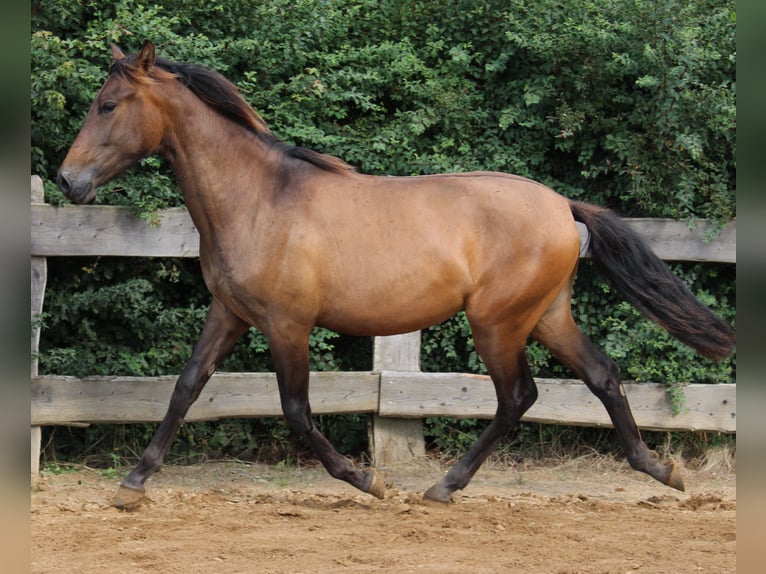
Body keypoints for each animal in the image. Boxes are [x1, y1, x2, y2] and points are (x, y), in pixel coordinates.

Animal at [57, 44, 736, 512]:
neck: (260, 199)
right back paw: (660, 469)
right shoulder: (230, 313)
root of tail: (562, 206)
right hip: (545, 315)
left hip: (498, 323)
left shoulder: (287, 324)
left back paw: (444, 486)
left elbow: (297, 411)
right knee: (600, 374)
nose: (67, 181)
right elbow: (186, 387)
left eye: (108, 105)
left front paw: (368, 480)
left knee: (519, 396)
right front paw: (133, 483)